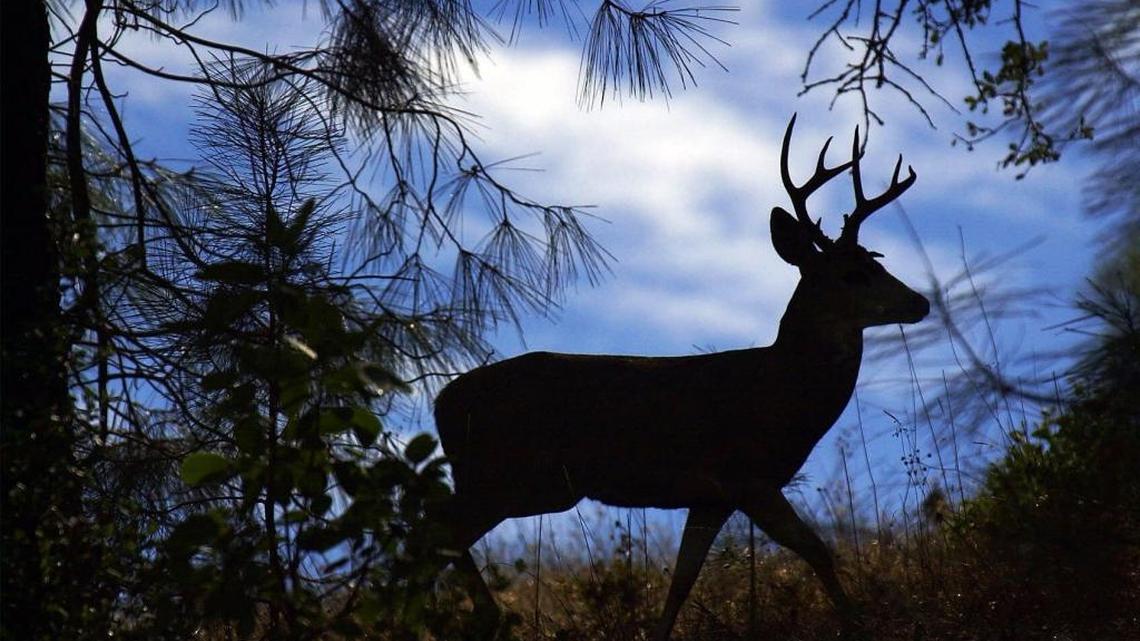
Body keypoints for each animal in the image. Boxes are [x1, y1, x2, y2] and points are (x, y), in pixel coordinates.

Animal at [433, 114, 930, 640]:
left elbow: (682, 581)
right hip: (505, 476)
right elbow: (817, 549)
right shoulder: (749, 476)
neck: (781, 390)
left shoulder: (709, 498)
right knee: (430, 531)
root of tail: (442, 402)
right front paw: (858, 623)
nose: (920, 301)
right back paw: (481, 615)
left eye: (878, 260)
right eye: (853, 274)